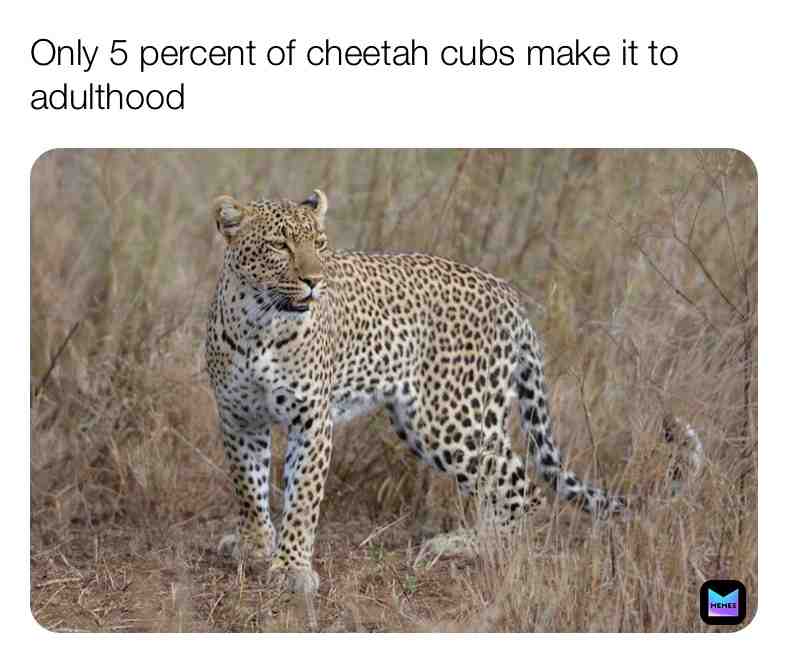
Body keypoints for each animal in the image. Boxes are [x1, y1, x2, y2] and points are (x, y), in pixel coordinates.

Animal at [205, 189, 630, 595]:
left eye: (320, 243)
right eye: (280, 245)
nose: (314, 281)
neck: (259, 324)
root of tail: (508, 294)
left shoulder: (310, 419)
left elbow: (303, 497)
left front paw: (292, 568)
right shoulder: (238, 416)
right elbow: (248, 485)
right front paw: (255, 545)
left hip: (449, 417)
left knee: (520, 487)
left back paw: (477, 546)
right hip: (419, 422)